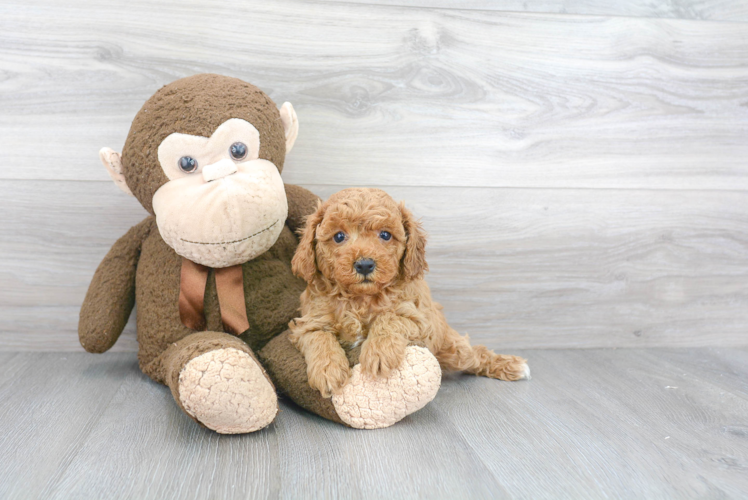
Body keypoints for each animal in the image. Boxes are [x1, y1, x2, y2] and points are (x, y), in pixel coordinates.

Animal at [290, 188, 528, 398]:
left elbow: (389, 318)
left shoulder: (421, 320)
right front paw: (327, 371)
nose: (365, 265)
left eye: (385, 235)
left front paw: (378, 352)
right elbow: (319, 337)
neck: (360, 298)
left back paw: (512, 365)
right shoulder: (308, 323)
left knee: (476, 355)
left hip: (452, 348)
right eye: (339, 236)